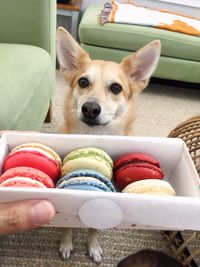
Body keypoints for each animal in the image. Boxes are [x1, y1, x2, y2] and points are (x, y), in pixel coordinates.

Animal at [55, 27, 161, 264]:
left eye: (116, 88)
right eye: (83, 82)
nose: (90, 109)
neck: (95, 136)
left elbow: (94, 227)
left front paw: (93, 246)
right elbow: (66, 224)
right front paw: (66, 242)